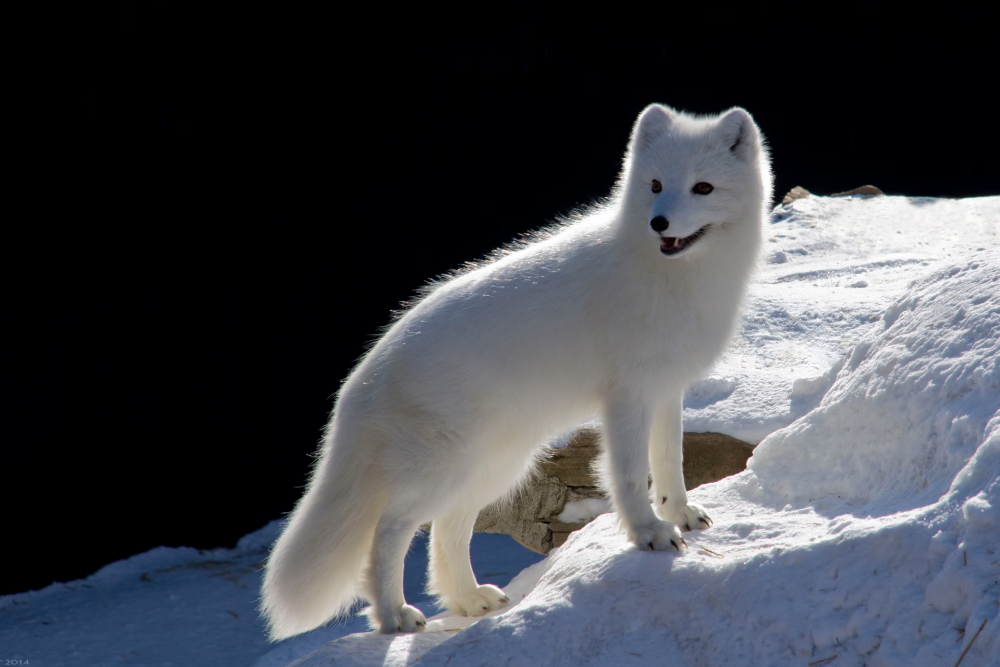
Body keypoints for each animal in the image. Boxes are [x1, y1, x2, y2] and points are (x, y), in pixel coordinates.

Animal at [260, 105, 772, 640]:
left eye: (703, 188)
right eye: (655, 185)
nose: (659, 222)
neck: (673, 276)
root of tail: (361, 378)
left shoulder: (667, 389)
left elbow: (670, 462)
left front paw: (680, 514)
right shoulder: (627, 396)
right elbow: (631, 475)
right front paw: (647, 534)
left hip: (494, 468)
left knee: (445, 531)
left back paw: (469, 600)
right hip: (445, 470)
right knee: (390, 530)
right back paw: (394, 615)